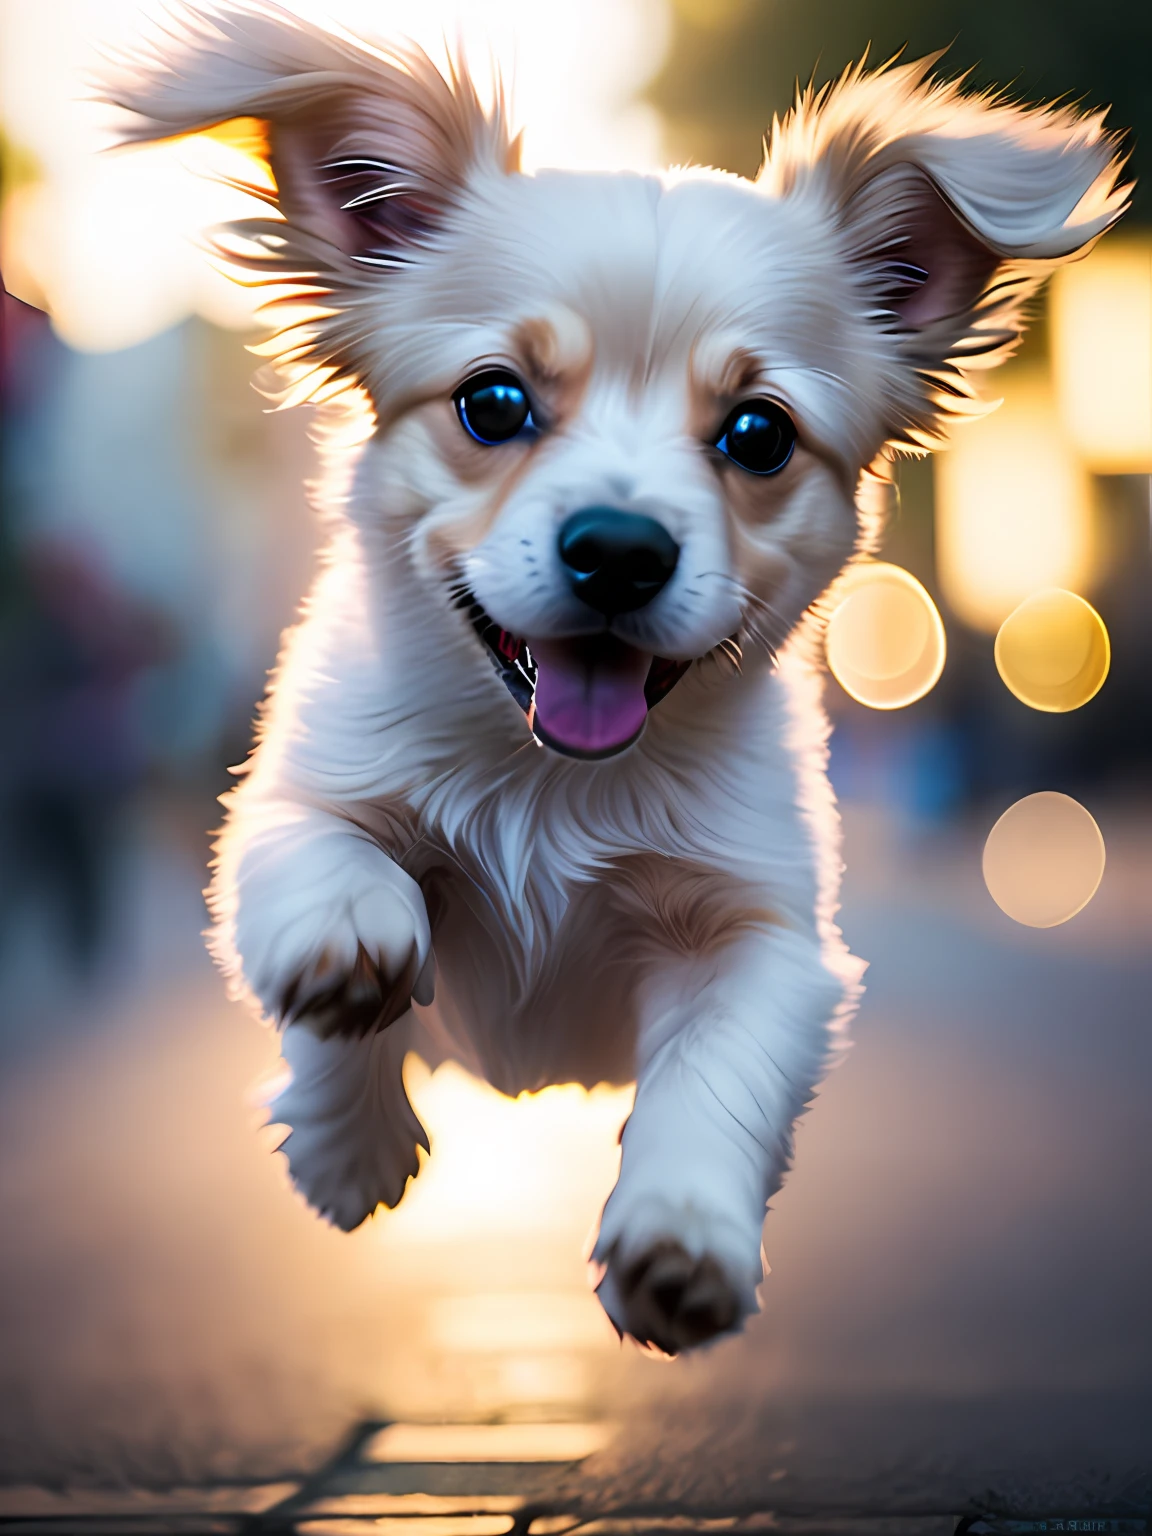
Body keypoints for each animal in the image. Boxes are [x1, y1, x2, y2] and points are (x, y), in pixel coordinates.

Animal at [103, 6, 1124, 1357]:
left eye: (758, 434)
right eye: (493, 402)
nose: (622, 548)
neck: (550, 785)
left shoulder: (765, 938)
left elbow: (719, 1077)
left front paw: (681, 1239)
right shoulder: (296, 798)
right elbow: (324, 883)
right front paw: (344, 1108)